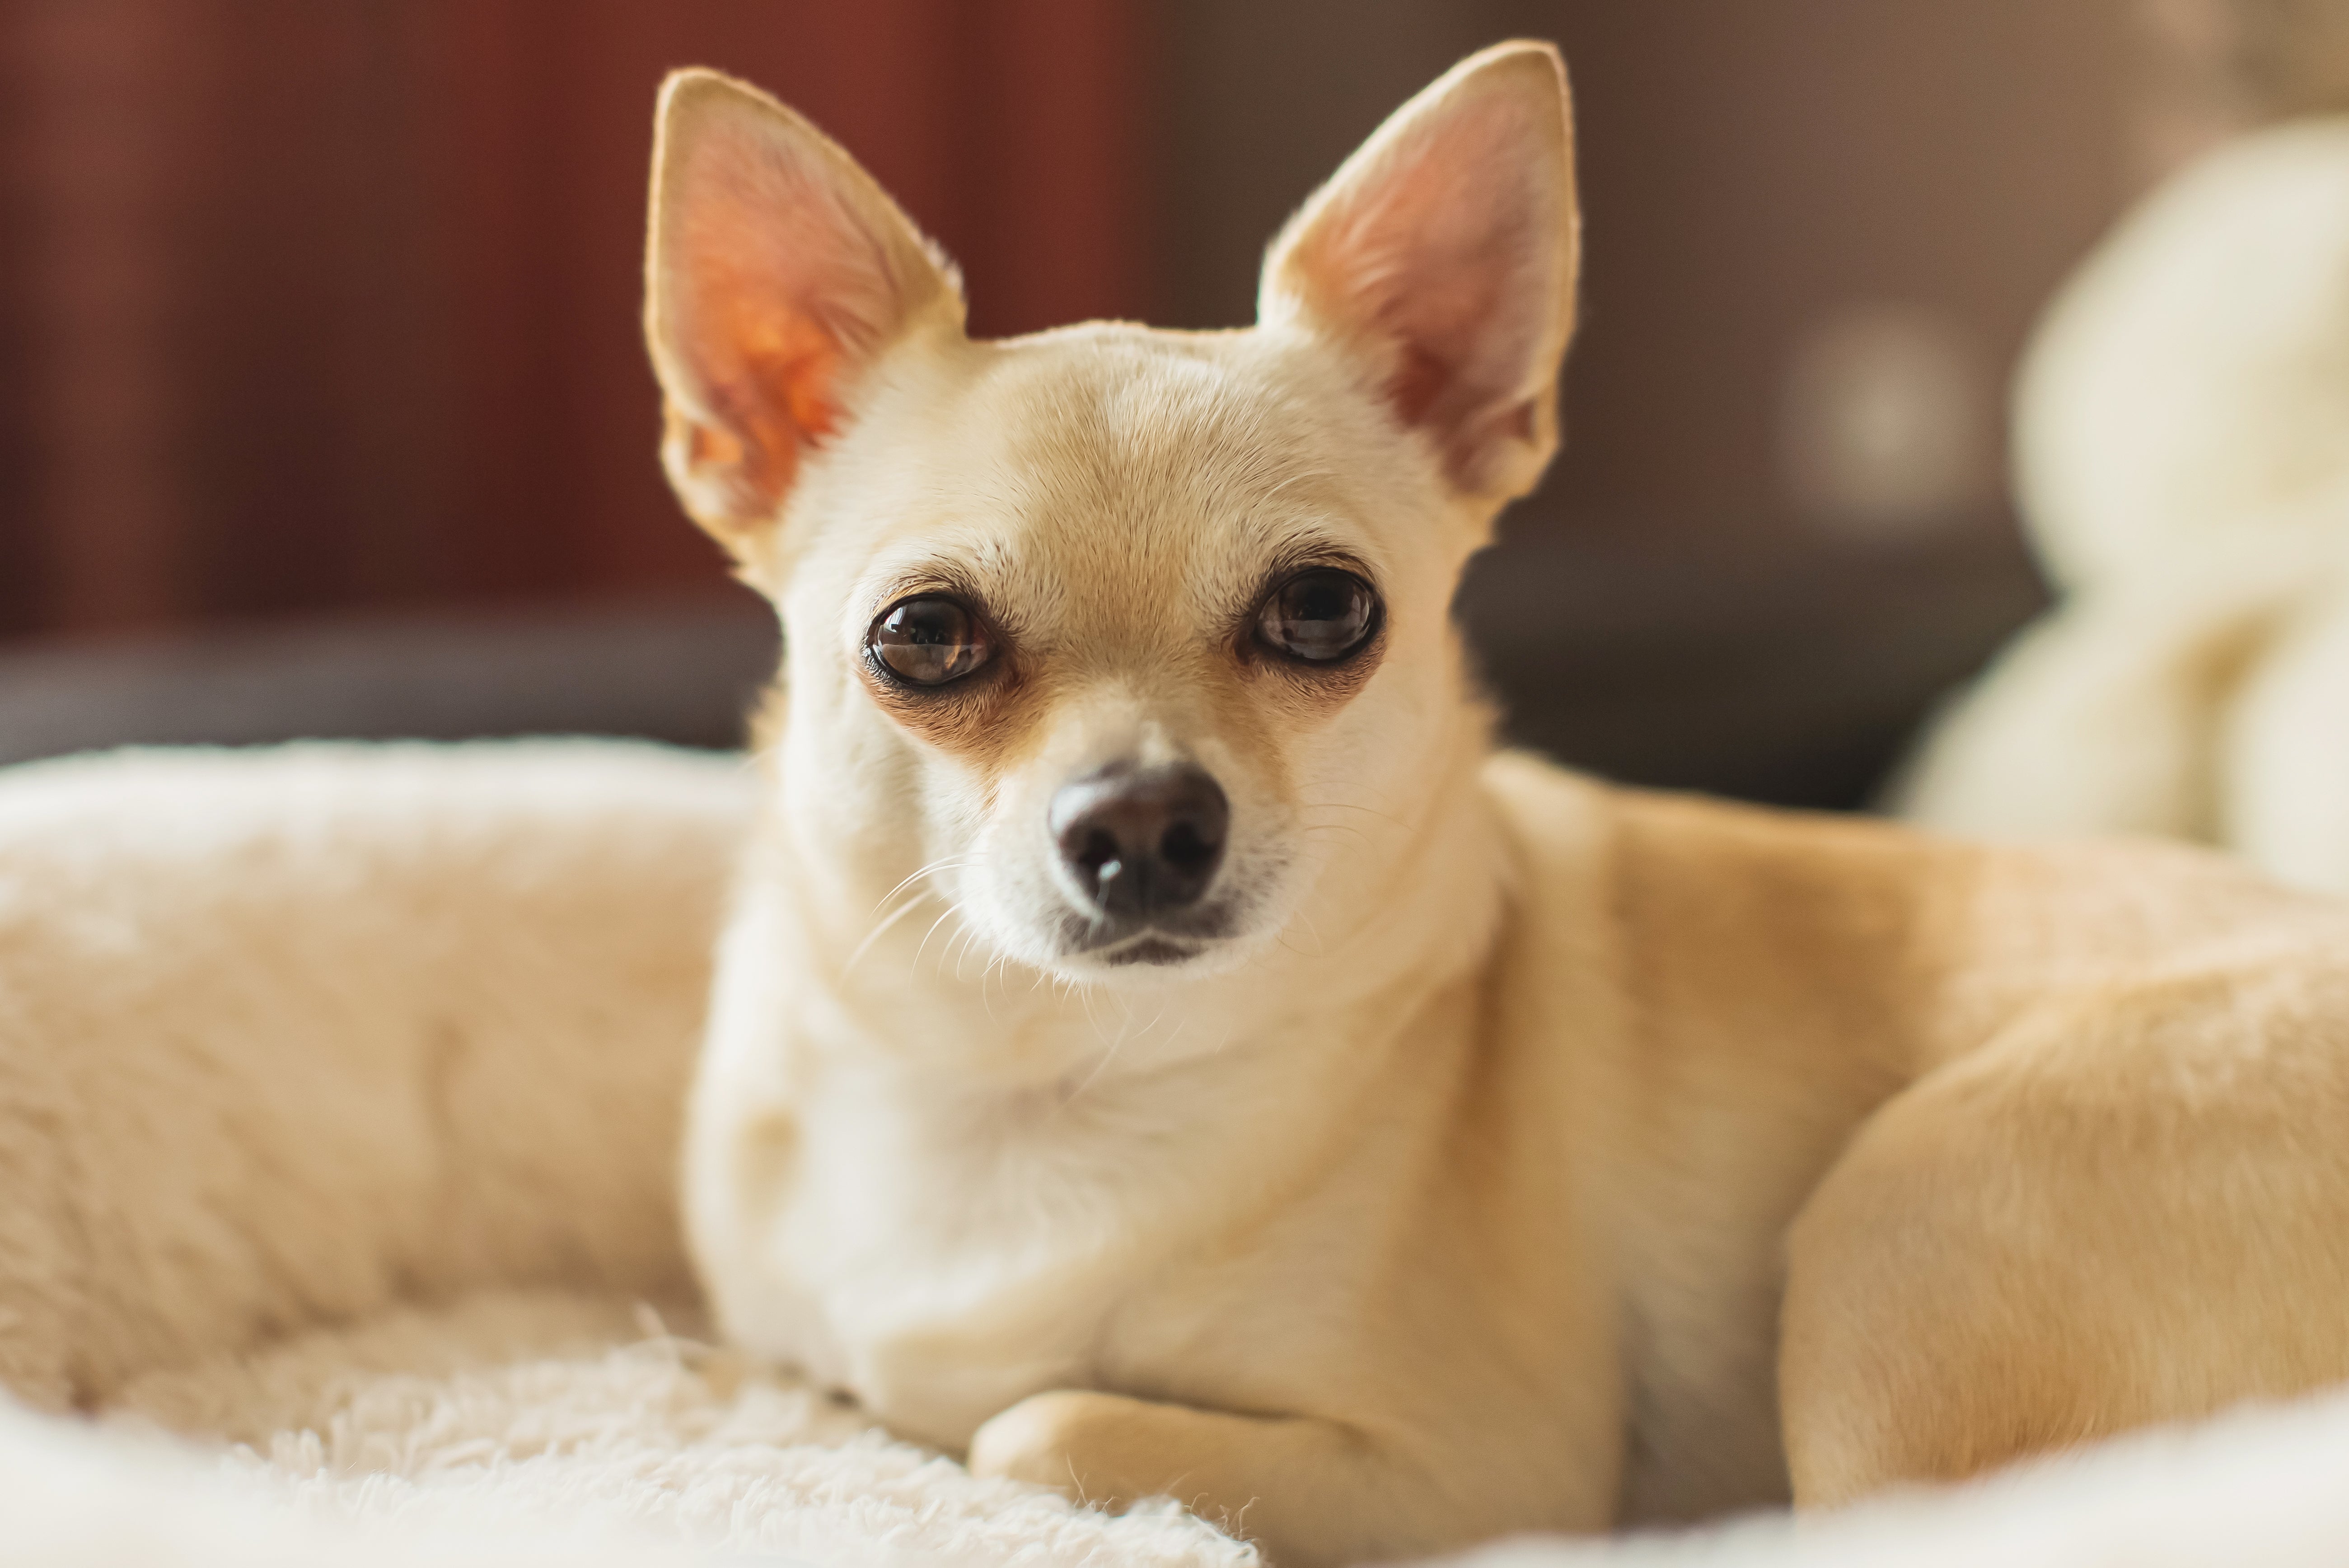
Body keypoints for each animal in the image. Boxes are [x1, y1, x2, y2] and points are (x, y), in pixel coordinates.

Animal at [639, 42, 2349, 1559]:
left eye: (1323, 612)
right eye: (921, 637)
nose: (1141, 823)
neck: (1033, 1085)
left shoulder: (1472, 1473)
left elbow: (1028, 1421)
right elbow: (815, 1369)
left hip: (1910, 1216)